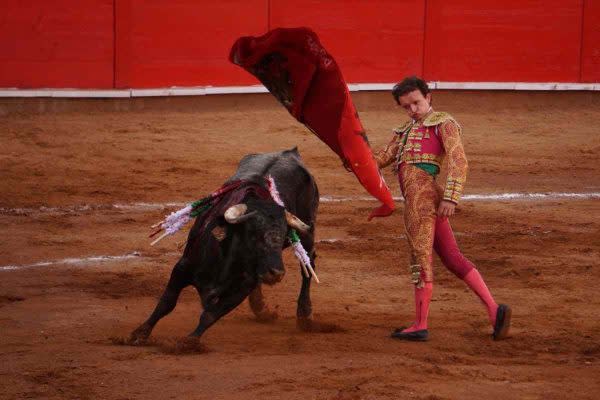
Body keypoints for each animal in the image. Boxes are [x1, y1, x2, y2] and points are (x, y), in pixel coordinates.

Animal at [129, 148, 322, 342]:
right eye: (252, 233)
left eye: (284, 235)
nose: (276, 273)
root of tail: (290, 152)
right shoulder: (182, 268)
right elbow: (166, 303)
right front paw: (140, 333)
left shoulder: (242, 287)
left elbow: (211, 315)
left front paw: (190, 341)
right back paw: (262, 309)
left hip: (307, 233)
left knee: (308, 264)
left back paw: (305, 315)